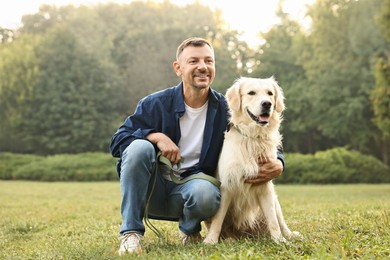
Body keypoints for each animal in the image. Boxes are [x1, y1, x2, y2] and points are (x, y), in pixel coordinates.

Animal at [203, 76, 300, 244]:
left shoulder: (265, 188)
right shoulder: (226, 186)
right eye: (251, 93)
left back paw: (289, 235)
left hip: (275, 199)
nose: (267, 104)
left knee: (280, 221)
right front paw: (211, 240)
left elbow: (273, 220)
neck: (253, 137)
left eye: (270, 93)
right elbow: (218, 219)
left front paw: (279, 241)